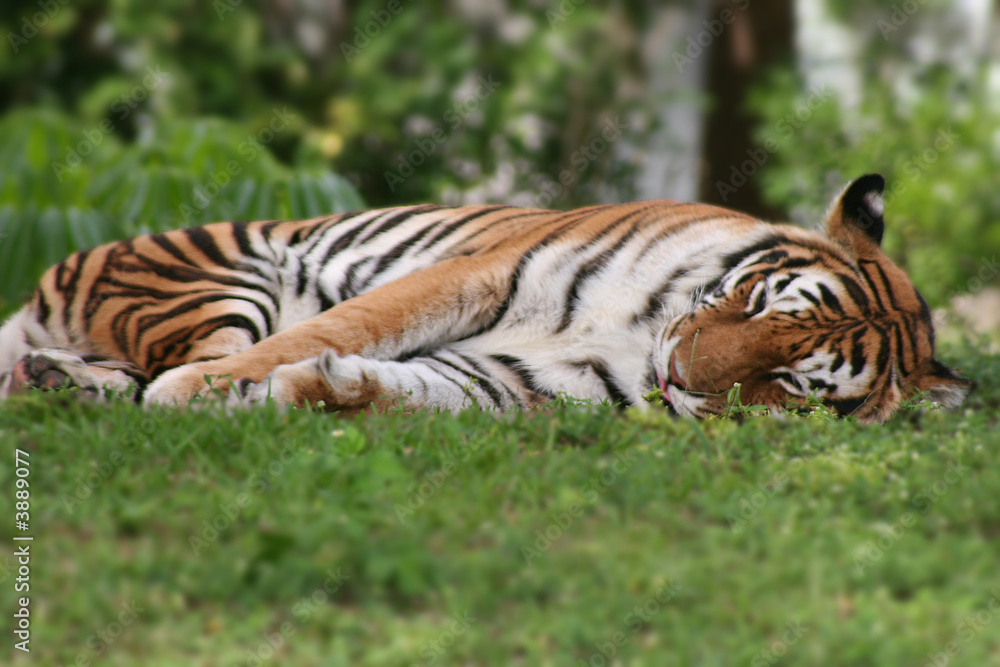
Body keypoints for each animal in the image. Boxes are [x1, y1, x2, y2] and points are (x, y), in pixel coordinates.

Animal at [0, 173, 974, 422]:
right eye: (762, 300)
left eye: (791, 381)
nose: (681, 372)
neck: (643, 334)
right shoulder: (479, 272)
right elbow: (349, 323)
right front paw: (214, 393)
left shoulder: (527, 378)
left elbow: (422, 387)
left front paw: (324, 388)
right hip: (227, 282)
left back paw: (55, 381)